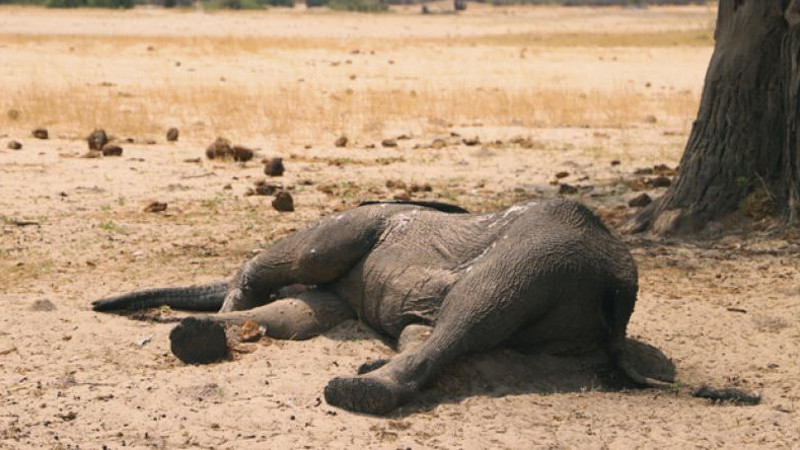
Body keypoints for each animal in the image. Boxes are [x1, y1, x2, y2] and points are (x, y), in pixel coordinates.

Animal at [93, 199, 754, 414]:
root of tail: (621, 285)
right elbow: (302, 313)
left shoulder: (359, 223)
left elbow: (302, 267)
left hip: (544, 254)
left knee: (472, 309)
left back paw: (357, 392)